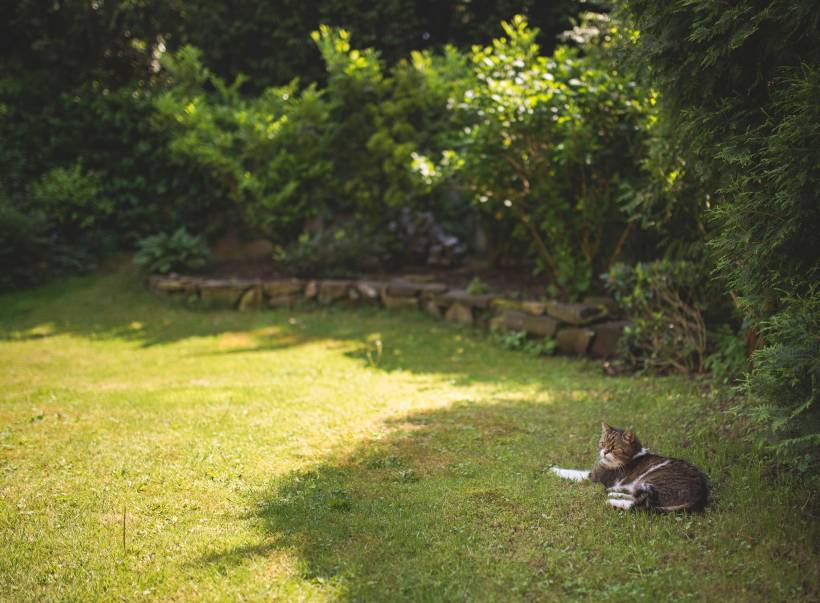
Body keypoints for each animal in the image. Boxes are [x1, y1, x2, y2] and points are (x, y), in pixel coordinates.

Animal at [552, 422, 712, 512]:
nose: (604, 452)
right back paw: (615, 493)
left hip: (652, 483)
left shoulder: (593, 477)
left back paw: (613, 501)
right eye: (602, 443)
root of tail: (701, 496)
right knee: (636, 497)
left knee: (640, 506)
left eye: (614, 448)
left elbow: (572, 473)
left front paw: (553, 469)